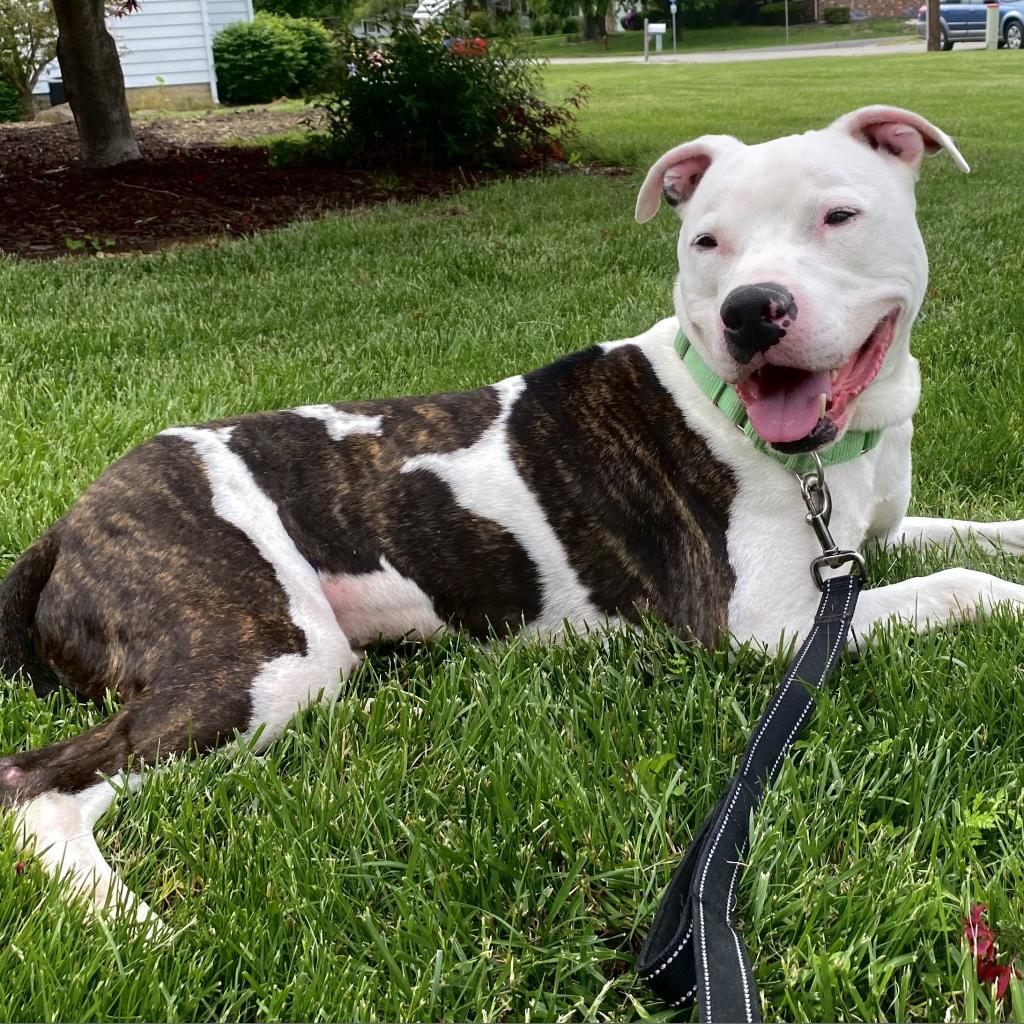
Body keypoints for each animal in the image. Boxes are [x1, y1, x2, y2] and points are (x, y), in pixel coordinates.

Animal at [2, 103, 1024, 929]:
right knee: (38, 784)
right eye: (707, 243)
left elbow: (974, 538)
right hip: (267, 657)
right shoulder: (770, 626)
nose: (750, 311)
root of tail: (74, 517)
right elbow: (964, 583)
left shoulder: (865, 545)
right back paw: (135, 928)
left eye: (838, 216)